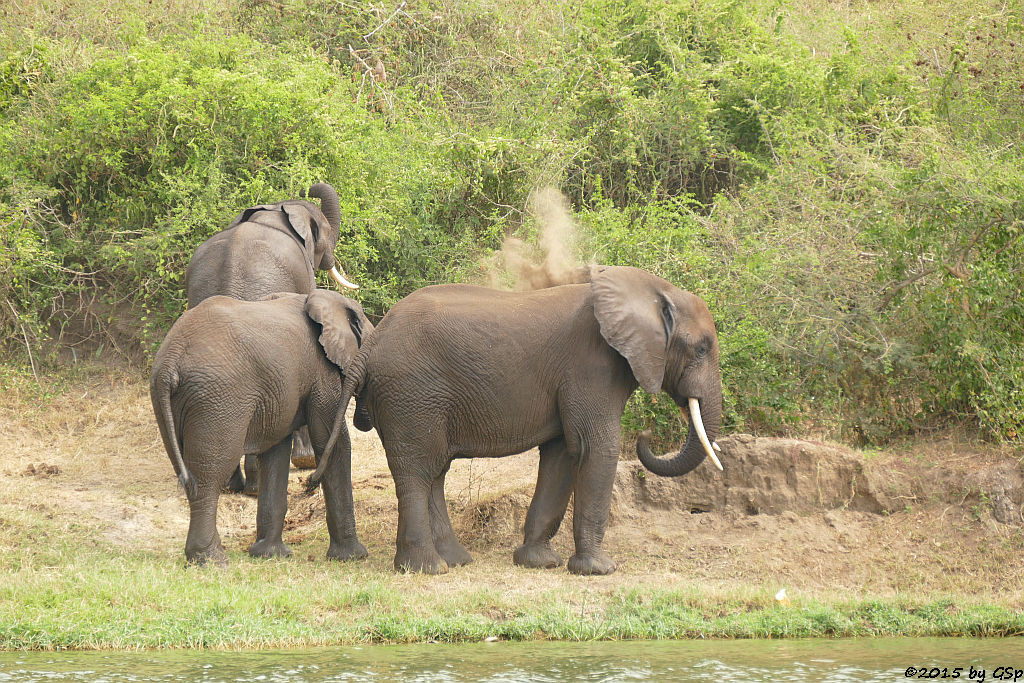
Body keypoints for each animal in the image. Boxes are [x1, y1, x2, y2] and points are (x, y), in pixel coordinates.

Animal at [149, 288, 374, 565]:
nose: (309, 482)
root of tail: (171, 358)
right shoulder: (322, 372)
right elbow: (334, 442)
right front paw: (353, 557)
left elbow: (275, 452)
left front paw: (270, 555)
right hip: (218, 397)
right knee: (209, 475)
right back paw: (214, 561)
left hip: (167, 398)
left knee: (188, 474)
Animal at [307, 266, 724, 577]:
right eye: (702, 348)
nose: (647, 435)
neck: (651, 291)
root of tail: (370, 345)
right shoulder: (591, 366)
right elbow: (594, 448)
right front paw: (599, 570)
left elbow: (562, 453)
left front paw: (539, 563)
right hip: (411, 394)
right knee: (417, 471)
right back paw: (428, 569)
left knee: (434, 471)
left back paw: (457, 561)